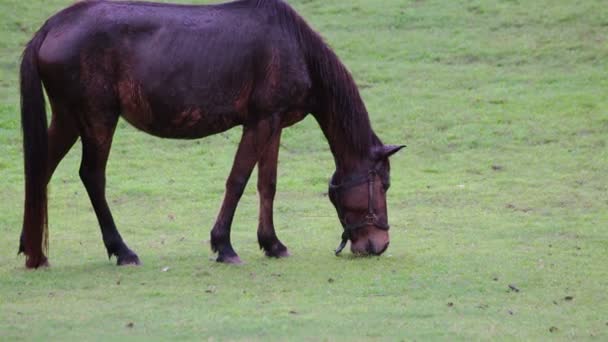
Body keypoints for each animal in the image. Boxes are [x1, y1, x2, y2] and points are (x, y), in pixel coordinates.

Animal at [17, 0, 404, 268]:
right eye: (383, 185)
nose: (379, 244)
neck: (293, 44)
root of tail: (52, 26)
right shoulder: (259, 121)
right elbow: (238, 181)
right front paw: (224, 245)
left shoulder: (274, 122)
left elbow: (267, 184)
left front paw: (272, 243)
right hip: (98, 119)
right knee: (92, 176)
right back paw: (122, 250)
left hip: (68, 118)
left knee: (40, 169)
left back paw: (33, 250)